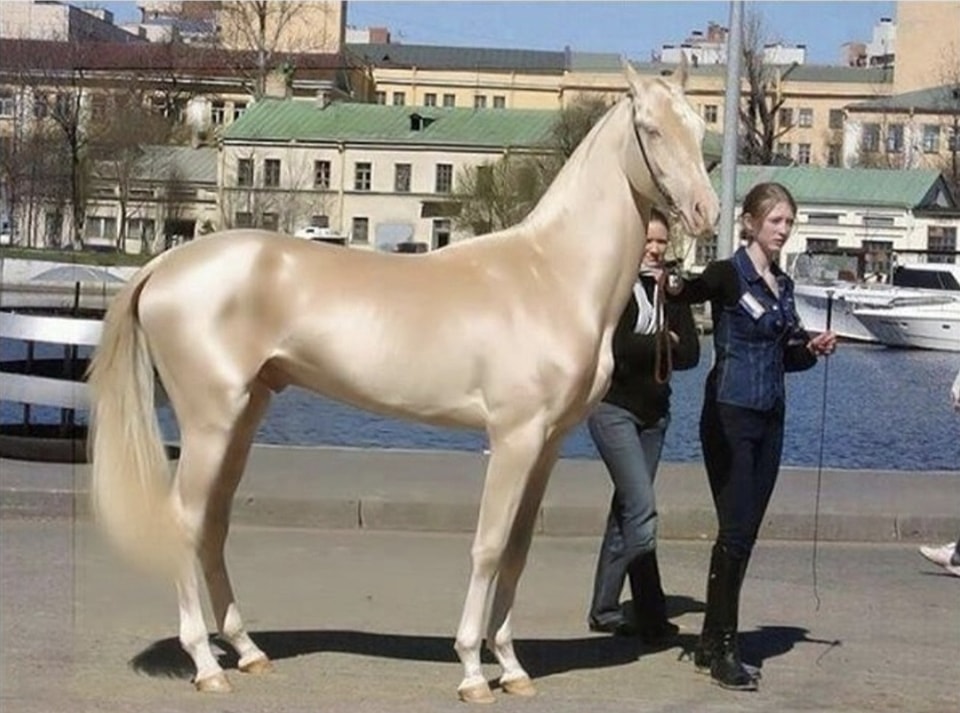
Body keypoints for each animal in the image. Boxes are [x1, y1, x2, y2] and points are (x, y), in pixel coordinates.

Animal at [88, 62, 720, 700]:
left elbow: (517, 550)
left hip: (244, 416)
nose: (705, 212)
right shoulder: (514, 438)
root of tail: (164, 266)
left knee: (213, 524)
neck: (551, 275)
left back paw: (247, 652)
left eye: (697, 127)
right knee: (184, 522)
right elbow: (489, 547)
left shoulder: (548, 445)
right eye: (651, 129)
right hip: (209, 421)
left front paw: (512, 667)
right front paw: (472, 671)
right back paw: (207, 665)